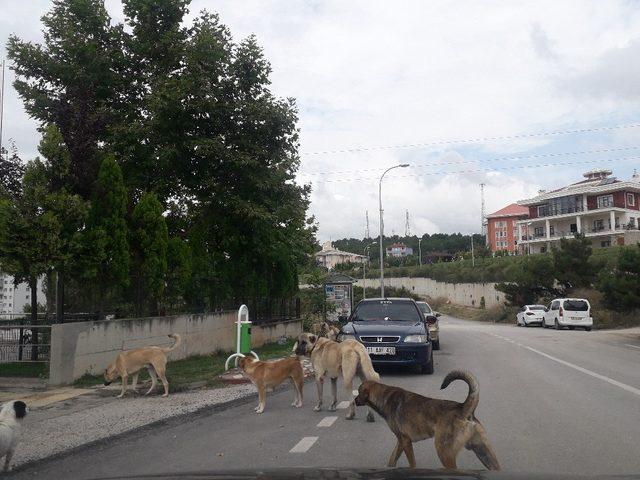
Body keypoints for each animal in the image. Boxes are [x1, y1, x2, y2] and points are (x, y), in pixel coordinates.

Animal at [356, 372, 500, 468]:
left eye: (358, 392)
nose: (354, 401)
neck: (384, 396)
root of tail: (463, 408)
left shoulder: (406, 441)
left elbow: (412, 463)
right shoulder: (401, 441)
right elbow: (392, 458)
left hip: (444, 452)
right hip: (483, 452)